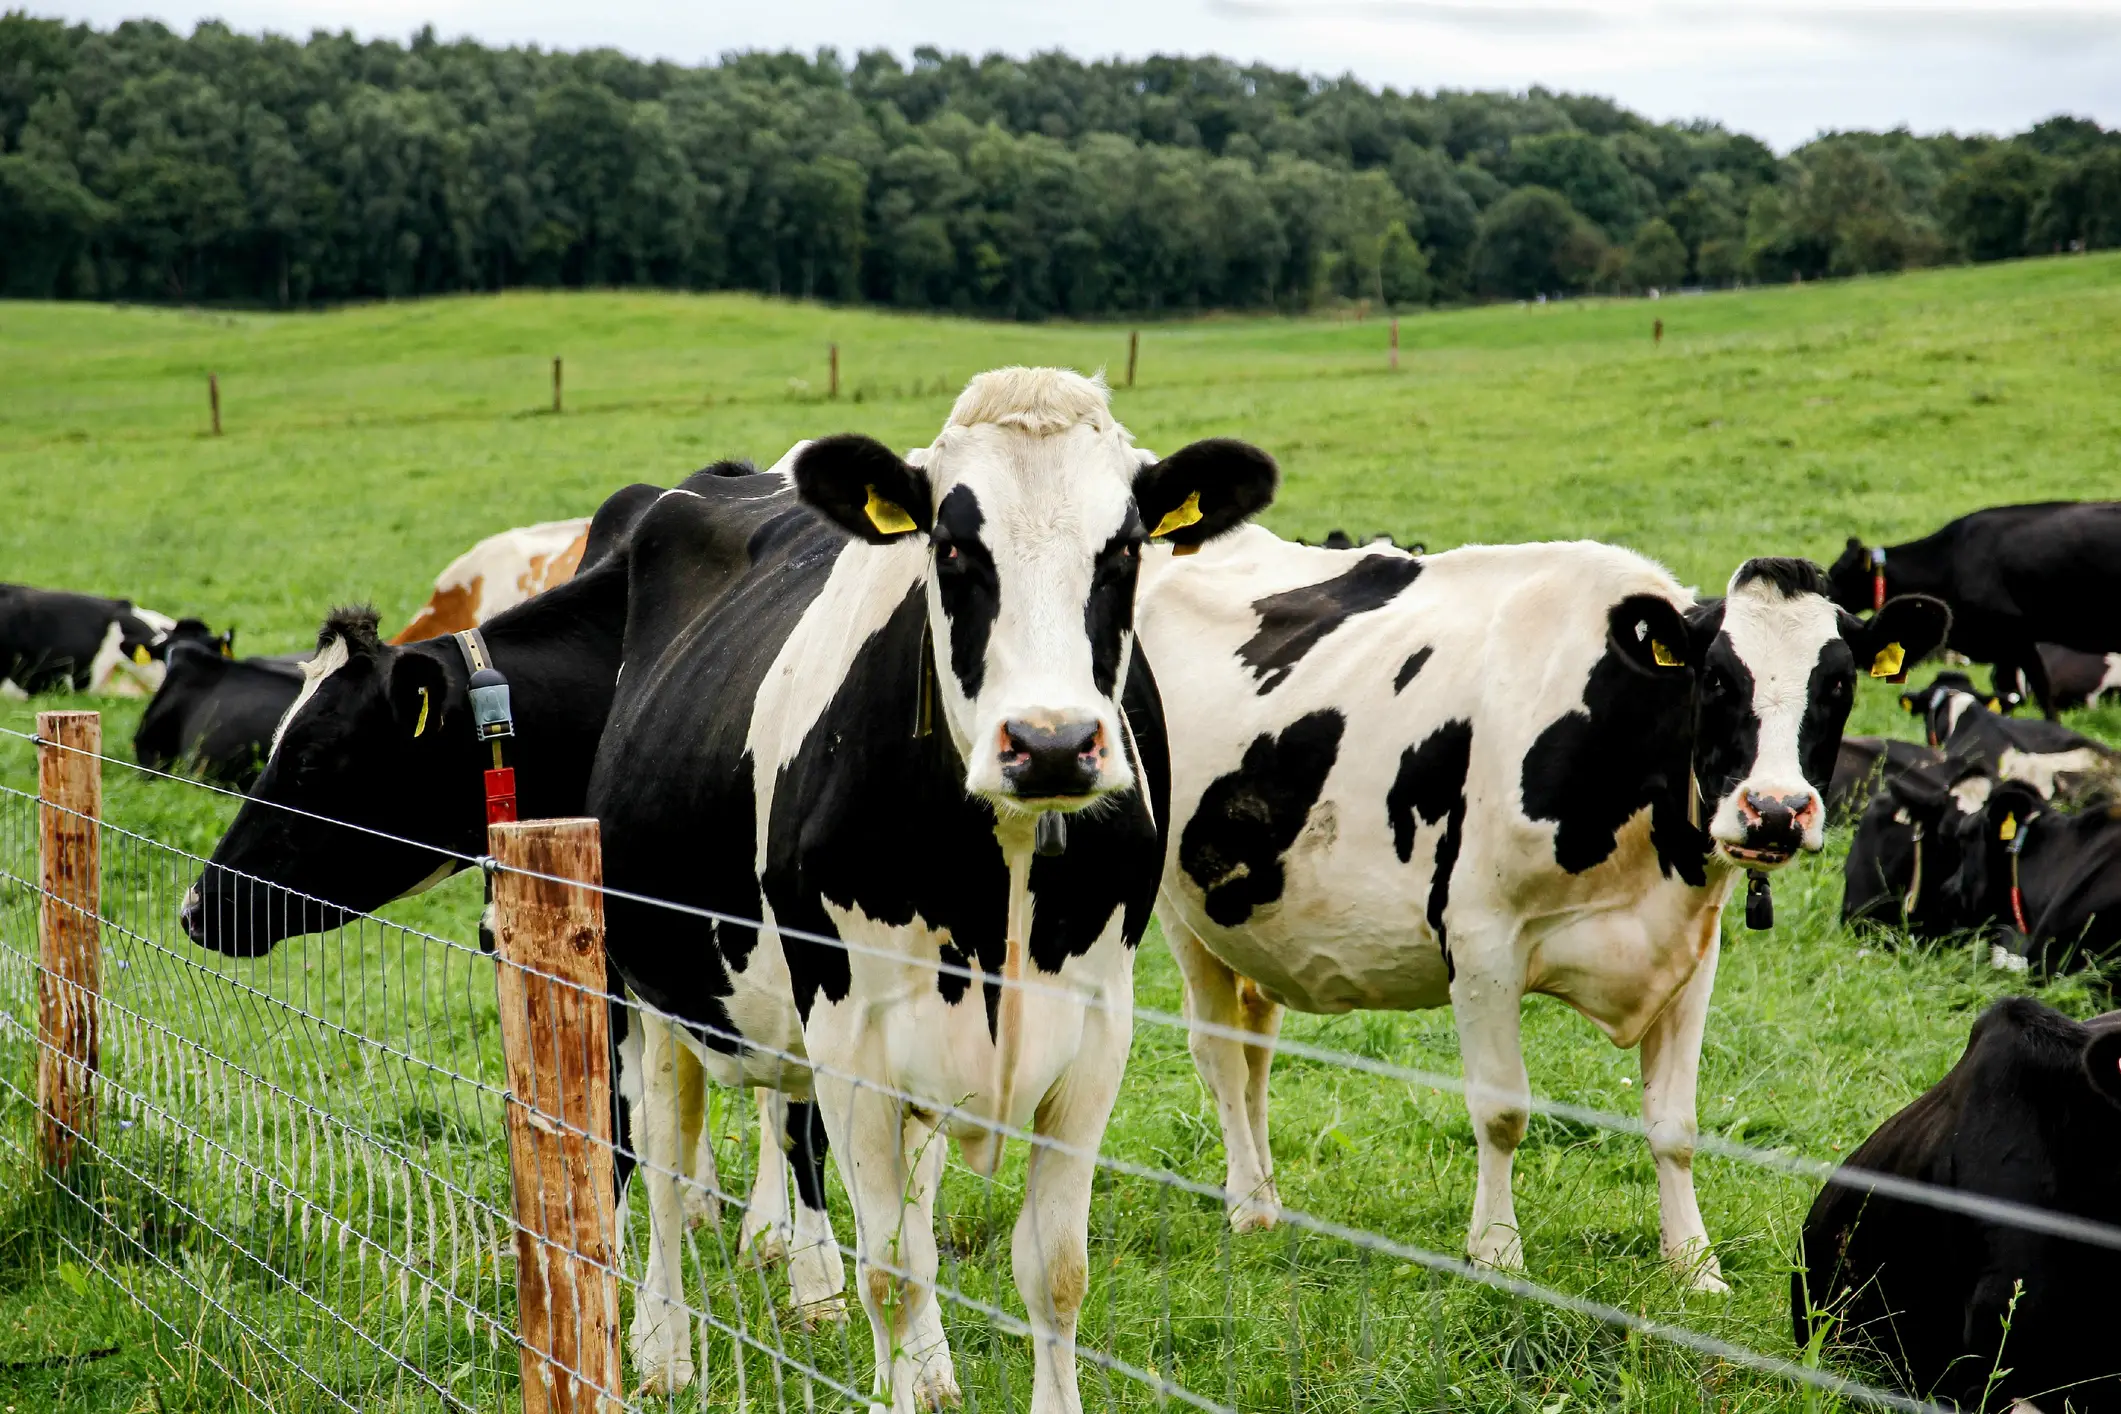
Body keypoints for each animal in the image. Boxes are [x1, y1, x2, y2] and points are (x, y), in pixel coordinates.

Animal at [588, 367, 1273, 1410]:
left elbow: (1052, 1269)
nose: (1050, 743)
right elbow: (891, 1272)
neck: (1004, 877)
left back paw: (928, 1369)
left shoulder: (1097, 1032)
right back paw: (663, 1349)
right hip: (649, 981)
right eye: (951, 546)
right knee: (661, 1161)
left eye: (1122, 548)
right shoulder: (850, 1039)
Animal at [1135, 537, 1948, 1290]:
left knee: (1254, 1049)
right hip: (1179, 908)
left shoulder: (1691, 949)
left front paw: (1693, 1266)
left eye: (1837, 683)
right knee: (1217, 1052)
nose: (1775, 811)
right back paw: (1248, 1205)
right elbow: (1501, 1112)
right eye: (1715, 678)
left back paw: (1270, 1196)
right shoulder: (1480, 942)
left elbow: (1676, 1125)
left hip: (1250, 921)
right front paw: (1497, 1255)